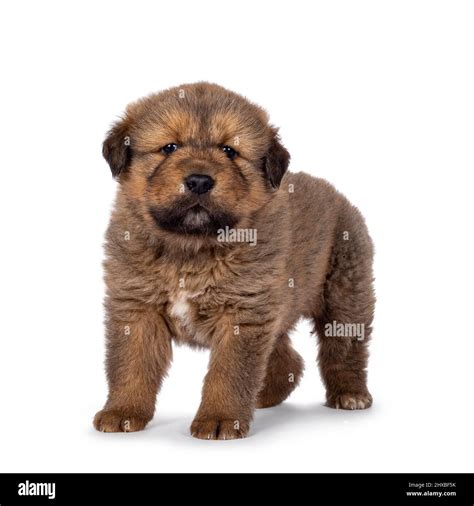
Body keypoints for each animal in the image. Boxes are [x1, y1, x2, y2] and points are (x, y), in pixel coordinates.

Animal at [92, 83, 374, 438]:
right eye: (169, 147)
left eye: (229, 151)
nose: (199, 180)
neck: (191, 247)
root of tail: (338, 195)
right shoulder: (137, 307)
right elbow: (130, 366)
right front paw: (123, 412)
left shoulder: (241, 313)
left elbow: (228, 374)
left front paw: (220, 419)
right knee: (287, 358)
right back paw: (265, 396)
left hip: (345, 295)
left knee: (344, 348)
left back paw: (350, 393)